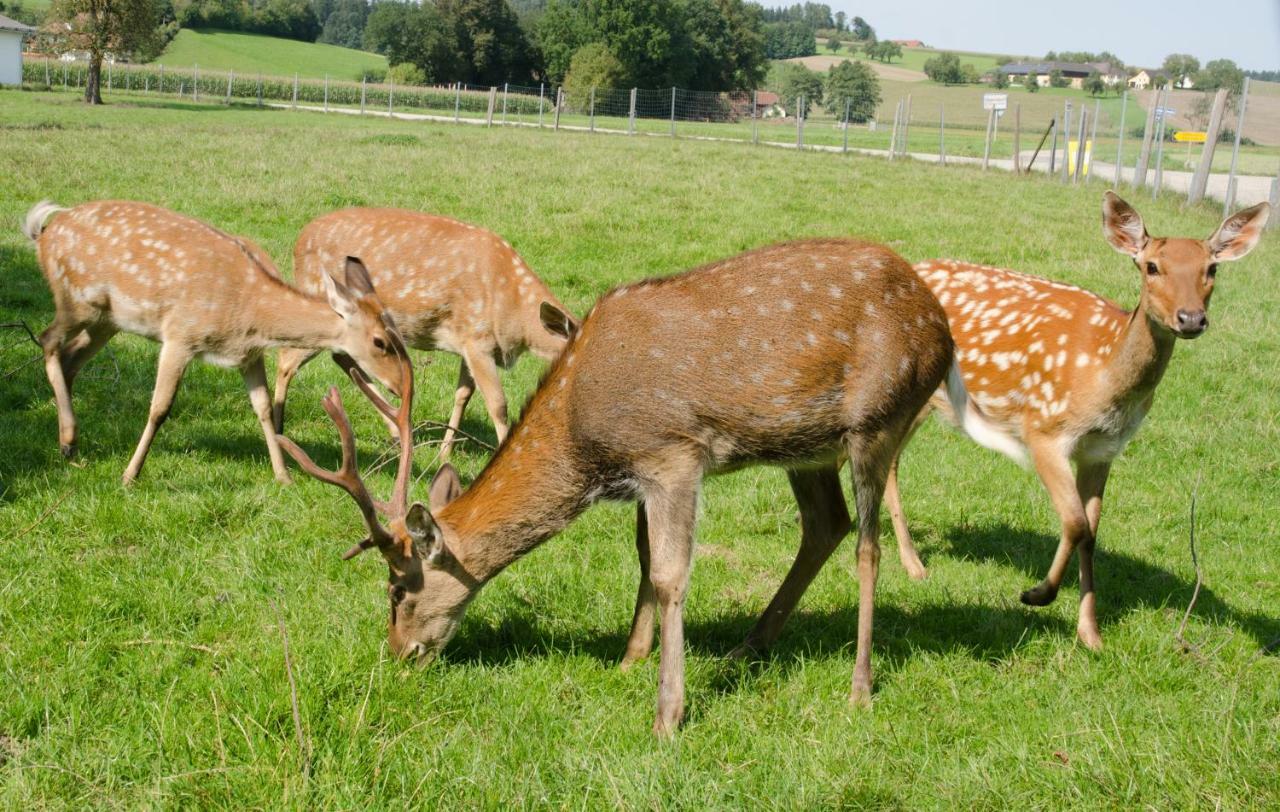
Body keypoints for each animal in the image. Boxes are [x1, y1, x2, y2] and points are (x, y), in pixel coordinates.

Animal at [23, 199, 404, 484]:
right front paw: (130, 474)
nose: (400, 386)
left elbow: (263, 408)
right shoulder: (180, 334)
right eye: (380, 342)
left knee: (70, 356)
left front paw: (283, 476)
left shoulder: (249, 355)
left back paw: (70, 443)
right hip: (76, 299)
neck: (251, 315)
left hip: (107, 320)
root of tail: (42, 232)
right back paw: (68, 439)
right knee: (47, 340)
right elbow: (160, 407)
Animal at [272, 207, 578, 455]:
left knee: (341, 357)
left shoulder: (469, 341)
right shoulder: (478, 339)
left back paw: (396, 433)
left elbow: (463, 395)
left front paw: (444, 452)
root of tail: (299, 242)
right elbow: (498, 404)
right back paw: (278, 431)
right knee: (286, 359)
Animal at [275, 236, 1013, 732]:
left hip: (877, 420)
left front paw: (668, 712)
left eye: (399, 588)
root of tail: (942, 330)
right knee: (824, 525)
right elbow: (640, 560)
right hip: (804, 448)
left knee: (866, 544)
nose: (399, 654)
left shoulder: (674, 454)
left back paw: (858, 686)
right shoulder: (640, 473)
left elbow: (670, 574)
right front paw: (630, 659)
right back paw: (749, 646)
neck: (585, 442)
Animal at [870, 190, 1269, 650]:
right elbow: (1075, 522)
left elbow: (1090, 532)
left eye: (1212, 268)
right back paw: (914, 564)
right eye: (1151, 266)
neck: (1104, 377)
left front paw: (1090, 633)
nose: (1190, 318)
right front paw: (1038, 594)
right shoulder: (1043, 429)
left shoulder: (1102, 450)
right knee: (890, 461)